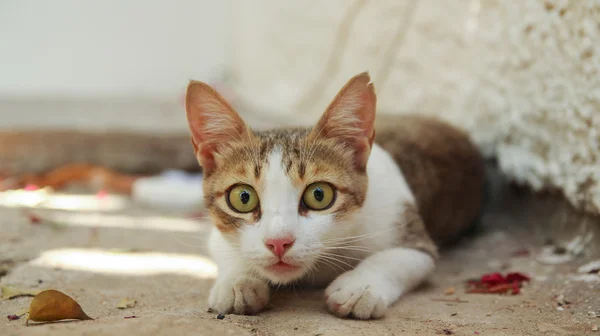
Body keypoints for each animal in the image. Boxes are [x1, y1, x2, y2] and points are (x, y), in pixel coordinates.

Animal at [185, 72, 486, 318]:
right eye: (243, 198)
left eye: (319, 195)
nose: (279, 243)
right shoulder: (218, 234)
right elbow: (226, 247)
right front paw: (238, 281)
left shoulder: (406, 226)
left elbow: (400, 258)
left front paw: (361, 286)